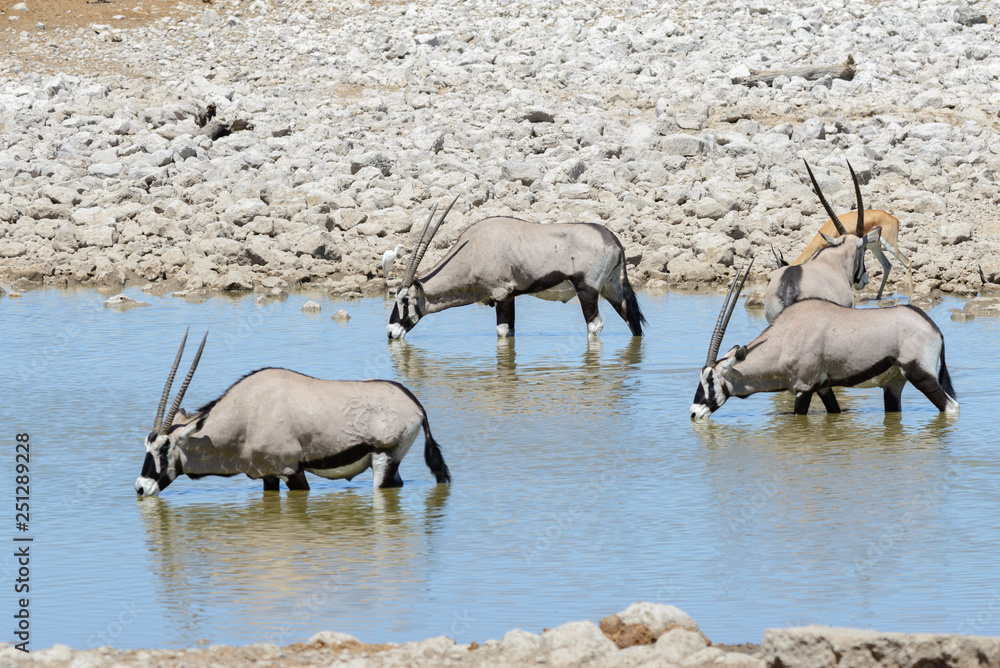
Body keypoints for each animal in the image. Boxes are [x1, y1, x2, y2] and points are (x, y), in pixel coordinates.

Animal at [135, 331, 451, 496]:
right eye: (147, 447)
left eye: (165, 448)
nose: (141, 487)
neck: (245, 415)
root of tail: (415, 404)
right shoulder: (268, 475)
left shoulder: (291, 471)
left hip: (385, 459)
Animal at [387, 197, 646, 340]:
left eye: (405, 300)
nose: (390, 332)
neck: (472, 250)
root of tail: (612, 239)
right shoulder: (509, 297)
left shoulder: (501, 293)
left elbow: (502, 332)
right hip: (611, 288)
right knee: (632, 321)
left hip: (588, 290)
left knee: (595, 326)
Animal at [691, 258, 959, 418]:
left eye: (711, 380)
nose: (694, 412)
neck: (784, 339)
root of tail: (934, 328)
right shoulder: (823, 388)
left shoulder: (803, 389)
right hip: (893, 384)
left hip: (920, 375)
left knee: (951, 407)